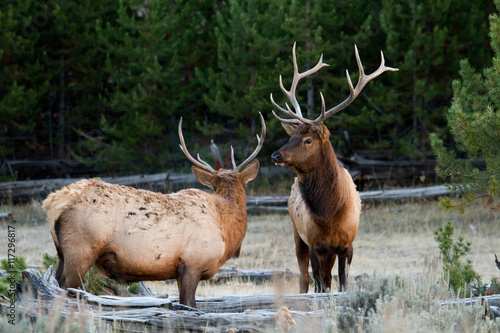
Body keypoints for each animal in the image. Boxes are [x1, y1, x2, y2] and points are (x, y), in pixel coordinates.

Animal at [44, 113, 266, 304]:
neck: (225, 227)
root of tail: (53, 202)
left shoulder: (179, 271)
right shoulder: (192, 263)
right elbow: (189, 305)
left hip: (63, 252)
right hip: (80, 249)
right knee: (62, 287)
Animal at [270, 42, 398, 292]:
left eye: (307, 140)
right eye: (291, 136)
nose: (275, 154)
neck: (329, 215)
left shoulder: (347, 245)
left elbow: (342, 285)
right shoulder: (314, 244)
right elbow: (320, 286)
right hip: (297, 234)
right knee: (304, 280)